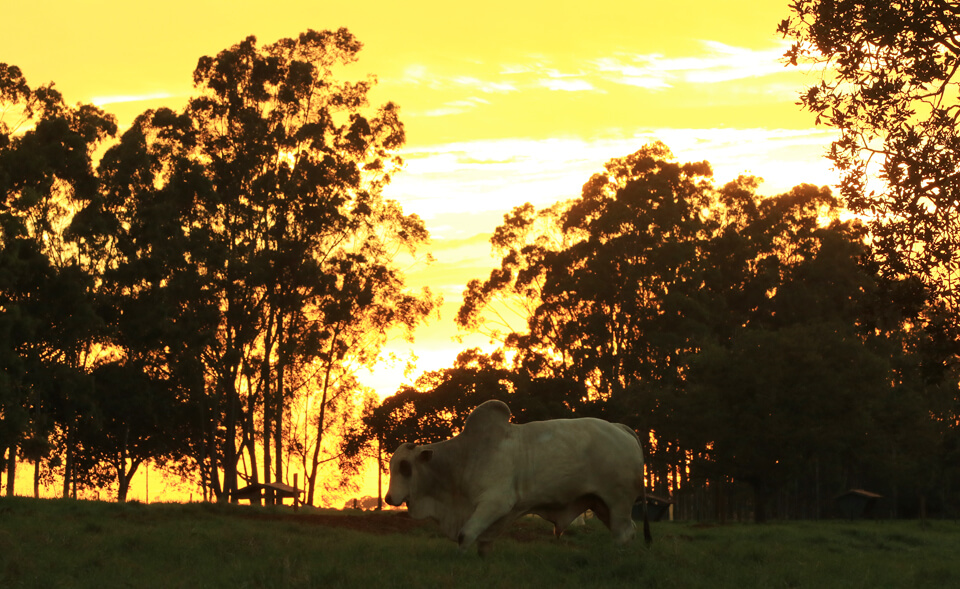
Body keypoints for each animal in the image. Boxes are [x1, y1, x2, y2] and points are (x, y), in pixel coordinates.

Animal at [384, 398, 652, 552]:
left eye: (405, 467)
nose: (387, 498)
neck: (465, 456)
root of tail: (621, 428)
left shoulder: (496, 502)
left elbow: (465, 536)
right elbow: (482, 543)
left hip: (618, 501)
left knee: (623, 534)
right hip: (601, 504)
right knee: (626, 531)